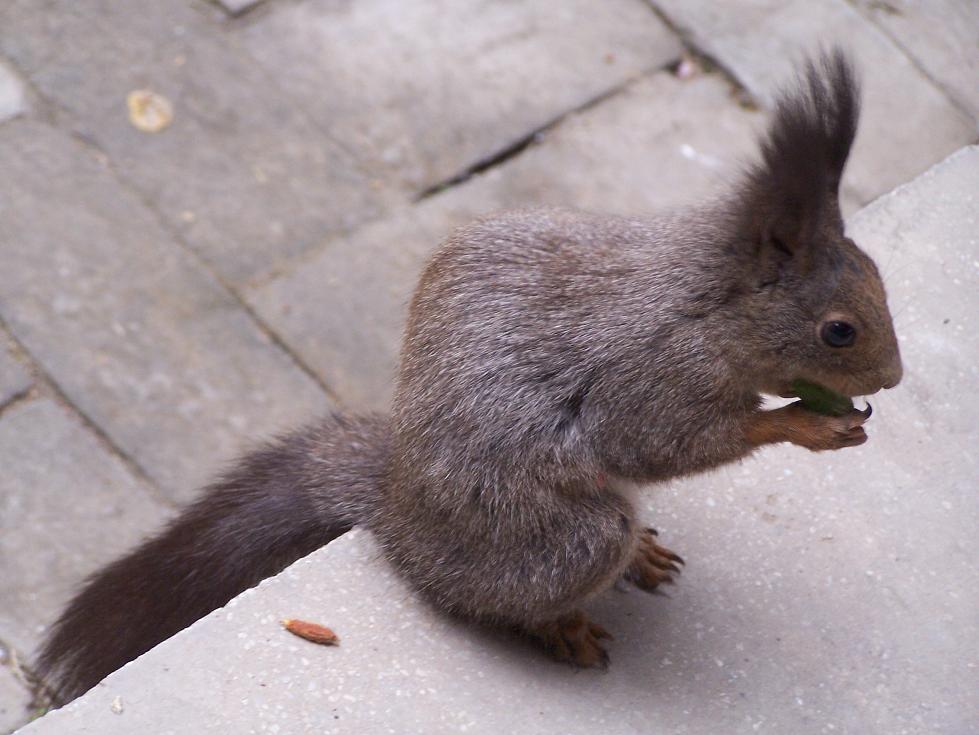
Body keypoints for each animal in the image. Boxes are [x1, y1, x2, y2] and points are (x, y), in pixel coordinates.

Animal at [32, 50, 904, 708]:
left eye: (875, 274)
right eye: (838, 329)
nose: (893, 375)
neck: (705, 304)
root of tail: (397, 511)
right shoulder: (652, 375)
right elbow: (664, 442)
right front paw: (805, 422)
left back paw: (642, 554)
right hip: (555, 538)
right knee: (503, 589)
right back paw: (563, 622)